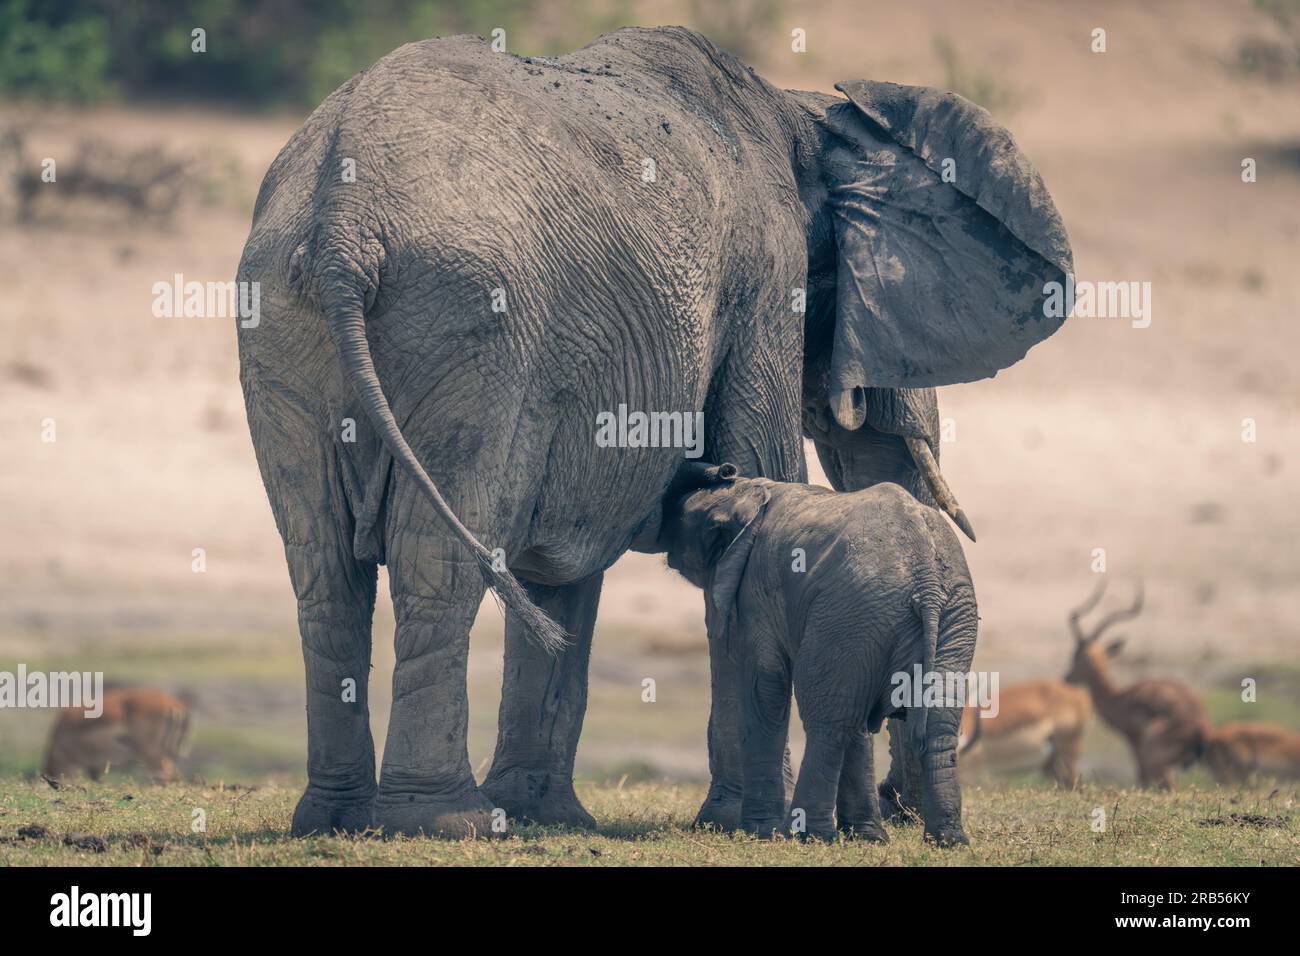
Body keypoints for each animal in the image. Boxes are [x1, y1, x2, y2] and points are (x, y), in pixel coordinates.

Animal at [660, 462, 979, 845]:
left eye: (685, 517)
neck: (749, 493)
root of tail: (927, 581)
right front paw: (867, 839)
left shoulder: (755, 590)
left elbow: (764, 687)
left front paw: (758, 831)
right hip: (943, 618)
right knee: (932, 723)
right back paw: (947, 840)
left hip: (852, 610)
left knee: (827, 721)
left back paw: (807, 835)